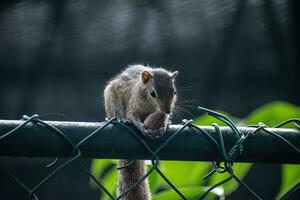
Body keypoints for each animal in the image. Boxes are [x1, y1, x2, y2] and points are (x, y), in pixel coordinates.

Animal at [103, 65, 178, 199]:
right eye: (153, 93)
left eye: (174, 92)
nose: (167, 110)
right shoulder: (133, 106)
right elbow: (133, 117)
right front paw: (141, 127)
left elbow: (163, 119)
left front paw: (165, 124)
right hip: (110, 98)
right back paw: (121, 119)